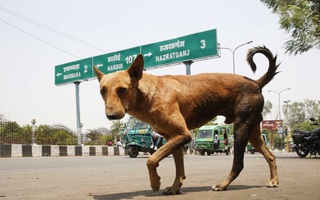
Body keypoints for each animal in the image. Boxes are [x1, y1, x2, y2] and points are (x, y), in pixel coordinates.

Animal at [94, 46, 278, 195]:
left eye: (122, 90)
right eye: (102, 91)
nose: (110, 116)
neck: (149, 94)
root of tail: (255, 82)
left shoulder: (183, 135)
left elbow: (151, 159)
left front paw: (155, 183)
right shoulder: (173, 138)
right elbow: (178, 169)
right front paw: (175, 188)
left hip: (241, 129)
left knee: (238, 163)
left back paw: (223, 185)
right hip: (252, 132)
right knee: (270, 155)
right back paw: (274, 180)